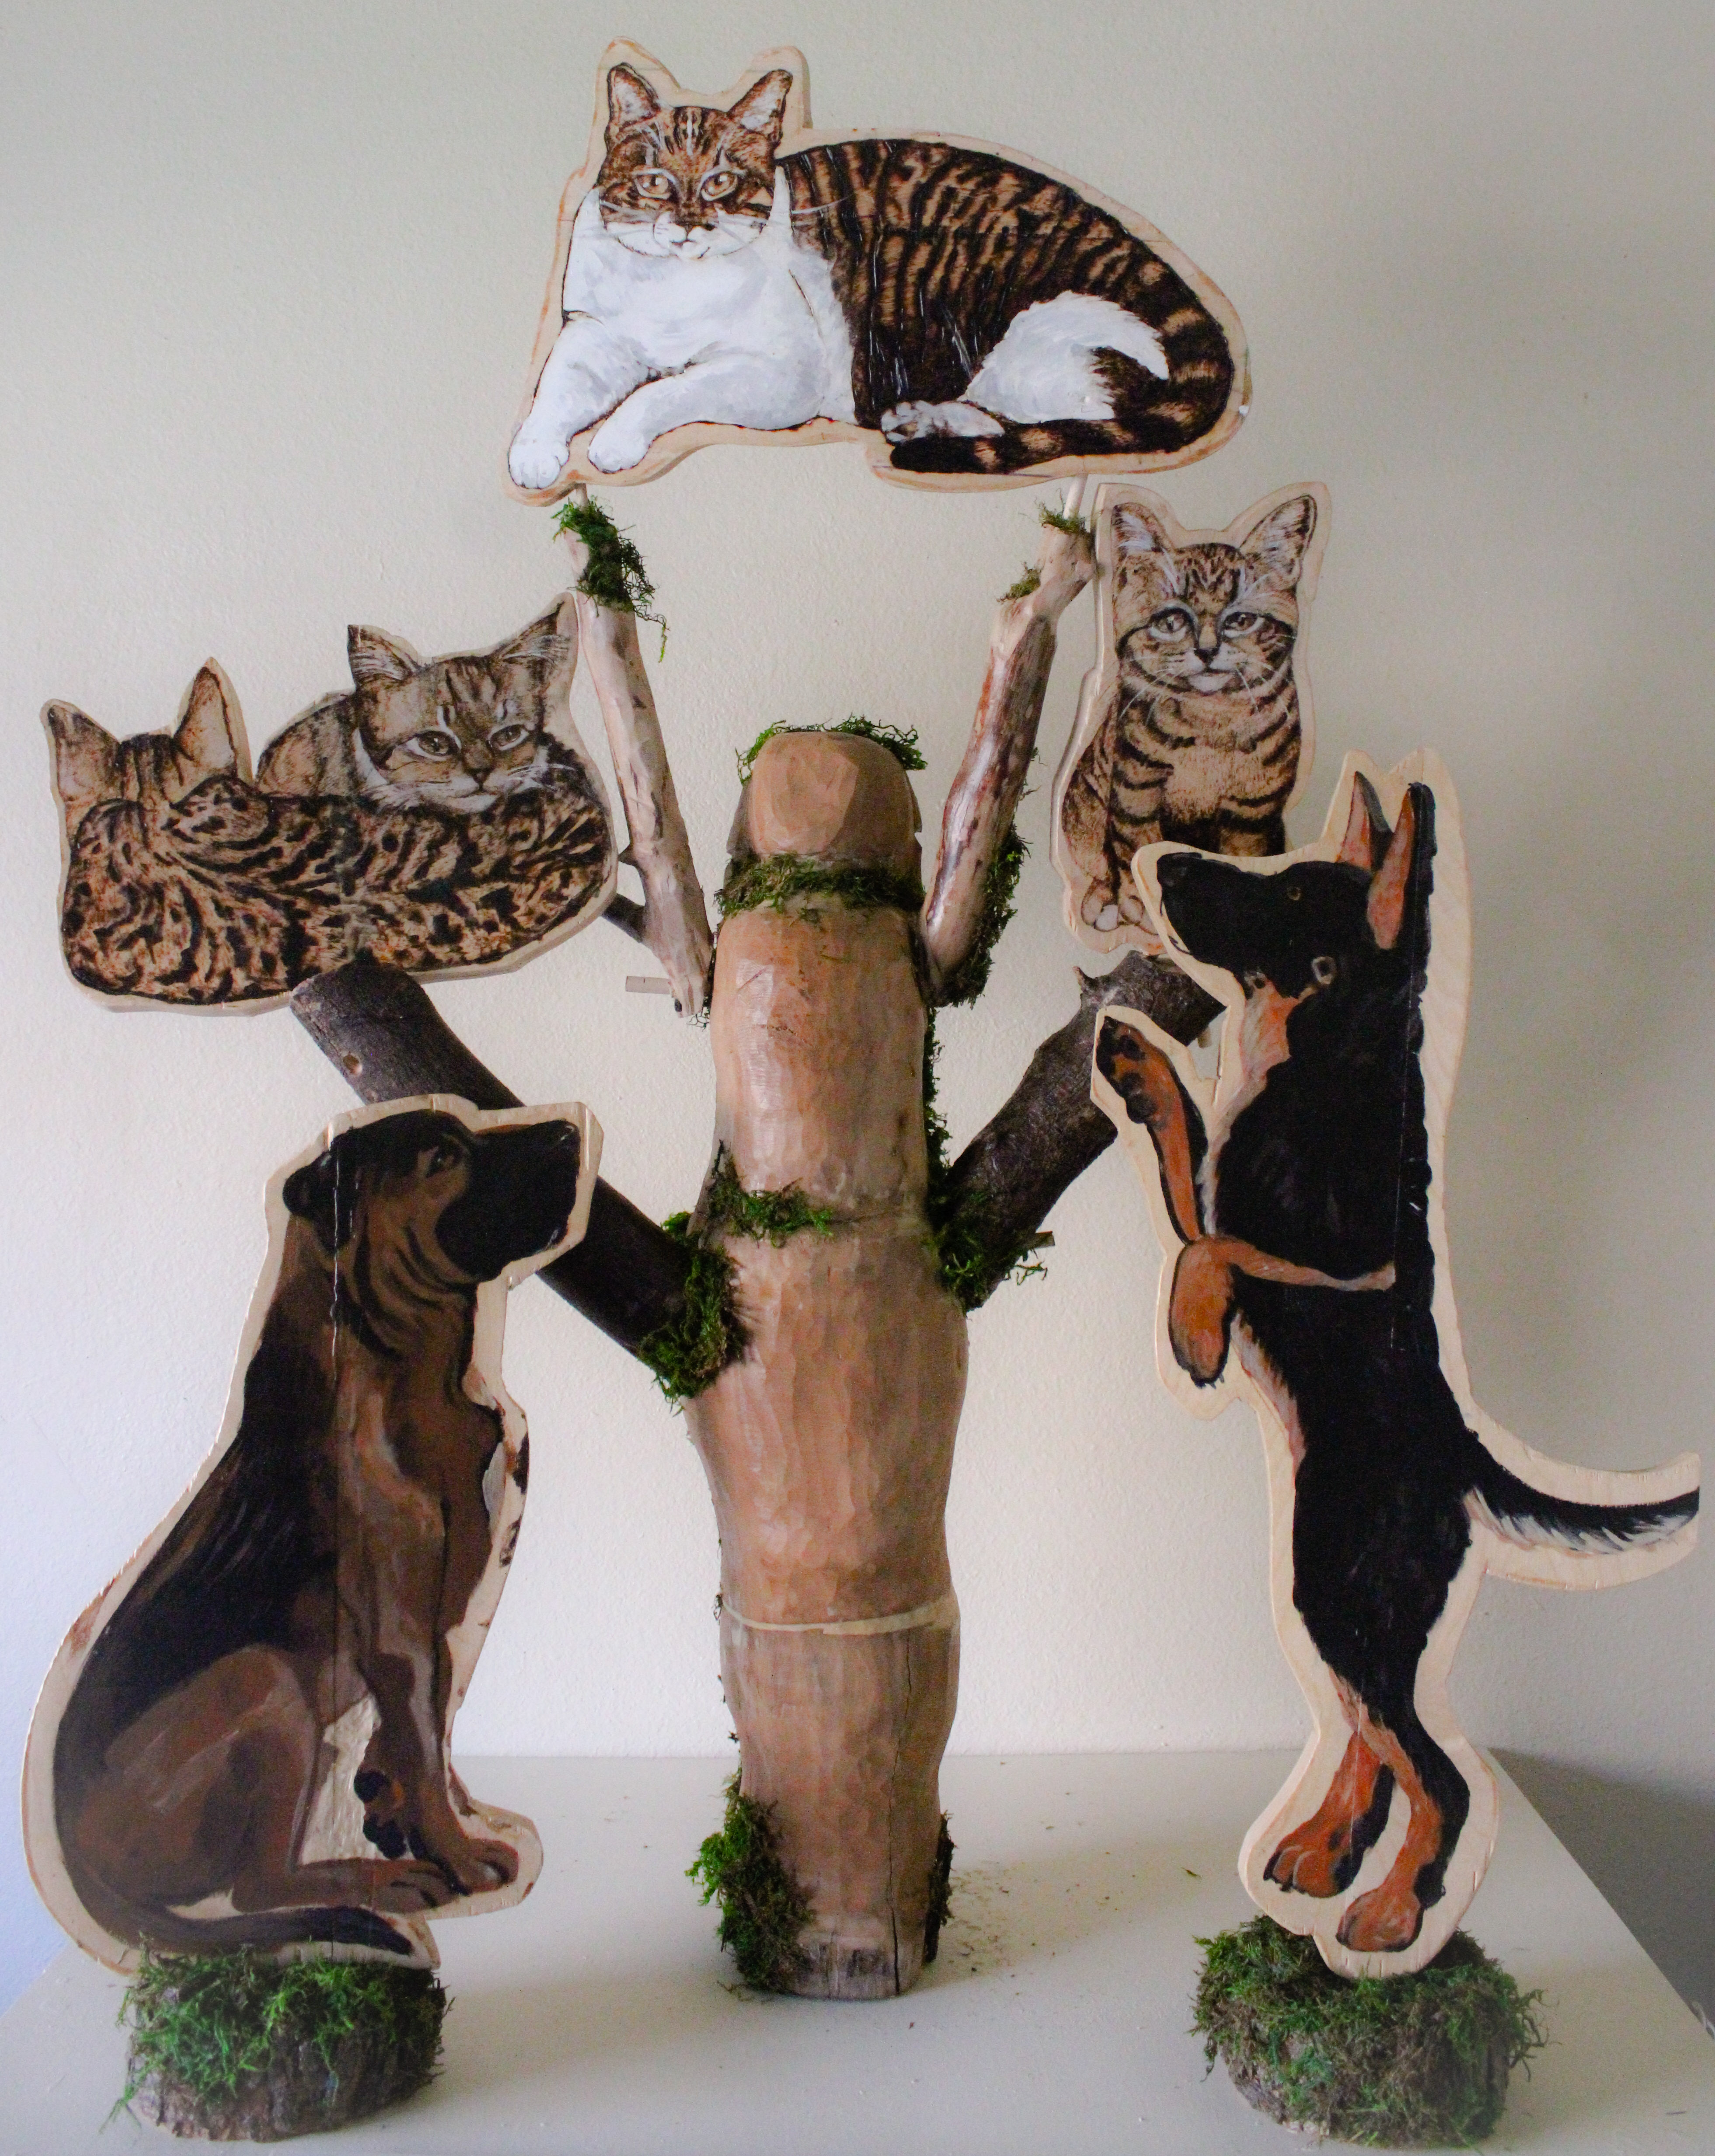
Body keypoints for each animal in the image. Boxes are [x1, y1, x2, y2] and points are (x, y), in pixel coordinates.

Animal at [508, 54, 1244, 488]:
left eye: (720, 181)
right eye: (656, 181)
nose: (690, 222)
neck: (671, 290)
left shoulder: (780, 373)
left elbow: (666, 391)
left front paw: (615, 439)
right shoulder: (592, 335)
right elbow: (553, 392)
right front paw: (533, 454)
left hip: (1032, 349)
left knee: (1057, 422)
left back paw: (922, 422)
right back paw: (918, 419)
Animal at [1057, 488, 1323, 935]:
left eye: (1241, 620)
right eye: (1172, 621)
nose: (1207, 650)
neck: (1210, 719)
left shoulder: (1254, 808)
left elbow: (1241, 857)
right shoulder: (1136, 785)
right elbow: (1138, 847)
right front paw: (1141, 903)